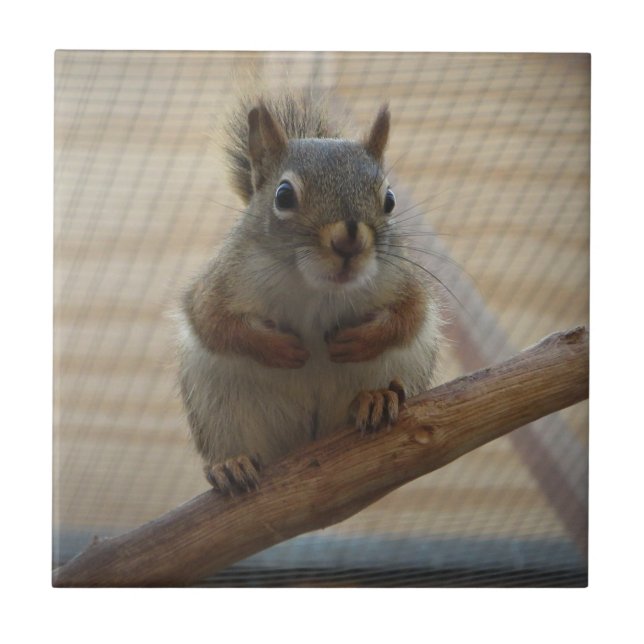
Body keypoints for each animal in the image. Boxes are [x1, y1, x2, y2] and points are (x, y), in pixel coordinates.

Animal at [177, 93, 442, 493]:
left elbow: (411, 315)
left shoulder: (401, 280)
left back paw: (375, 398)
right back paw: (231, 464)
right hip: (218, 406)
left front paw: (360, 341)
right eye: (284, 195)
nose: (349, 239)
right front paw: (277, 348)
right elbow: (213, 322)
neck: (316, 287)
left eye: (390, 199)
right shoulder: (221, 282)